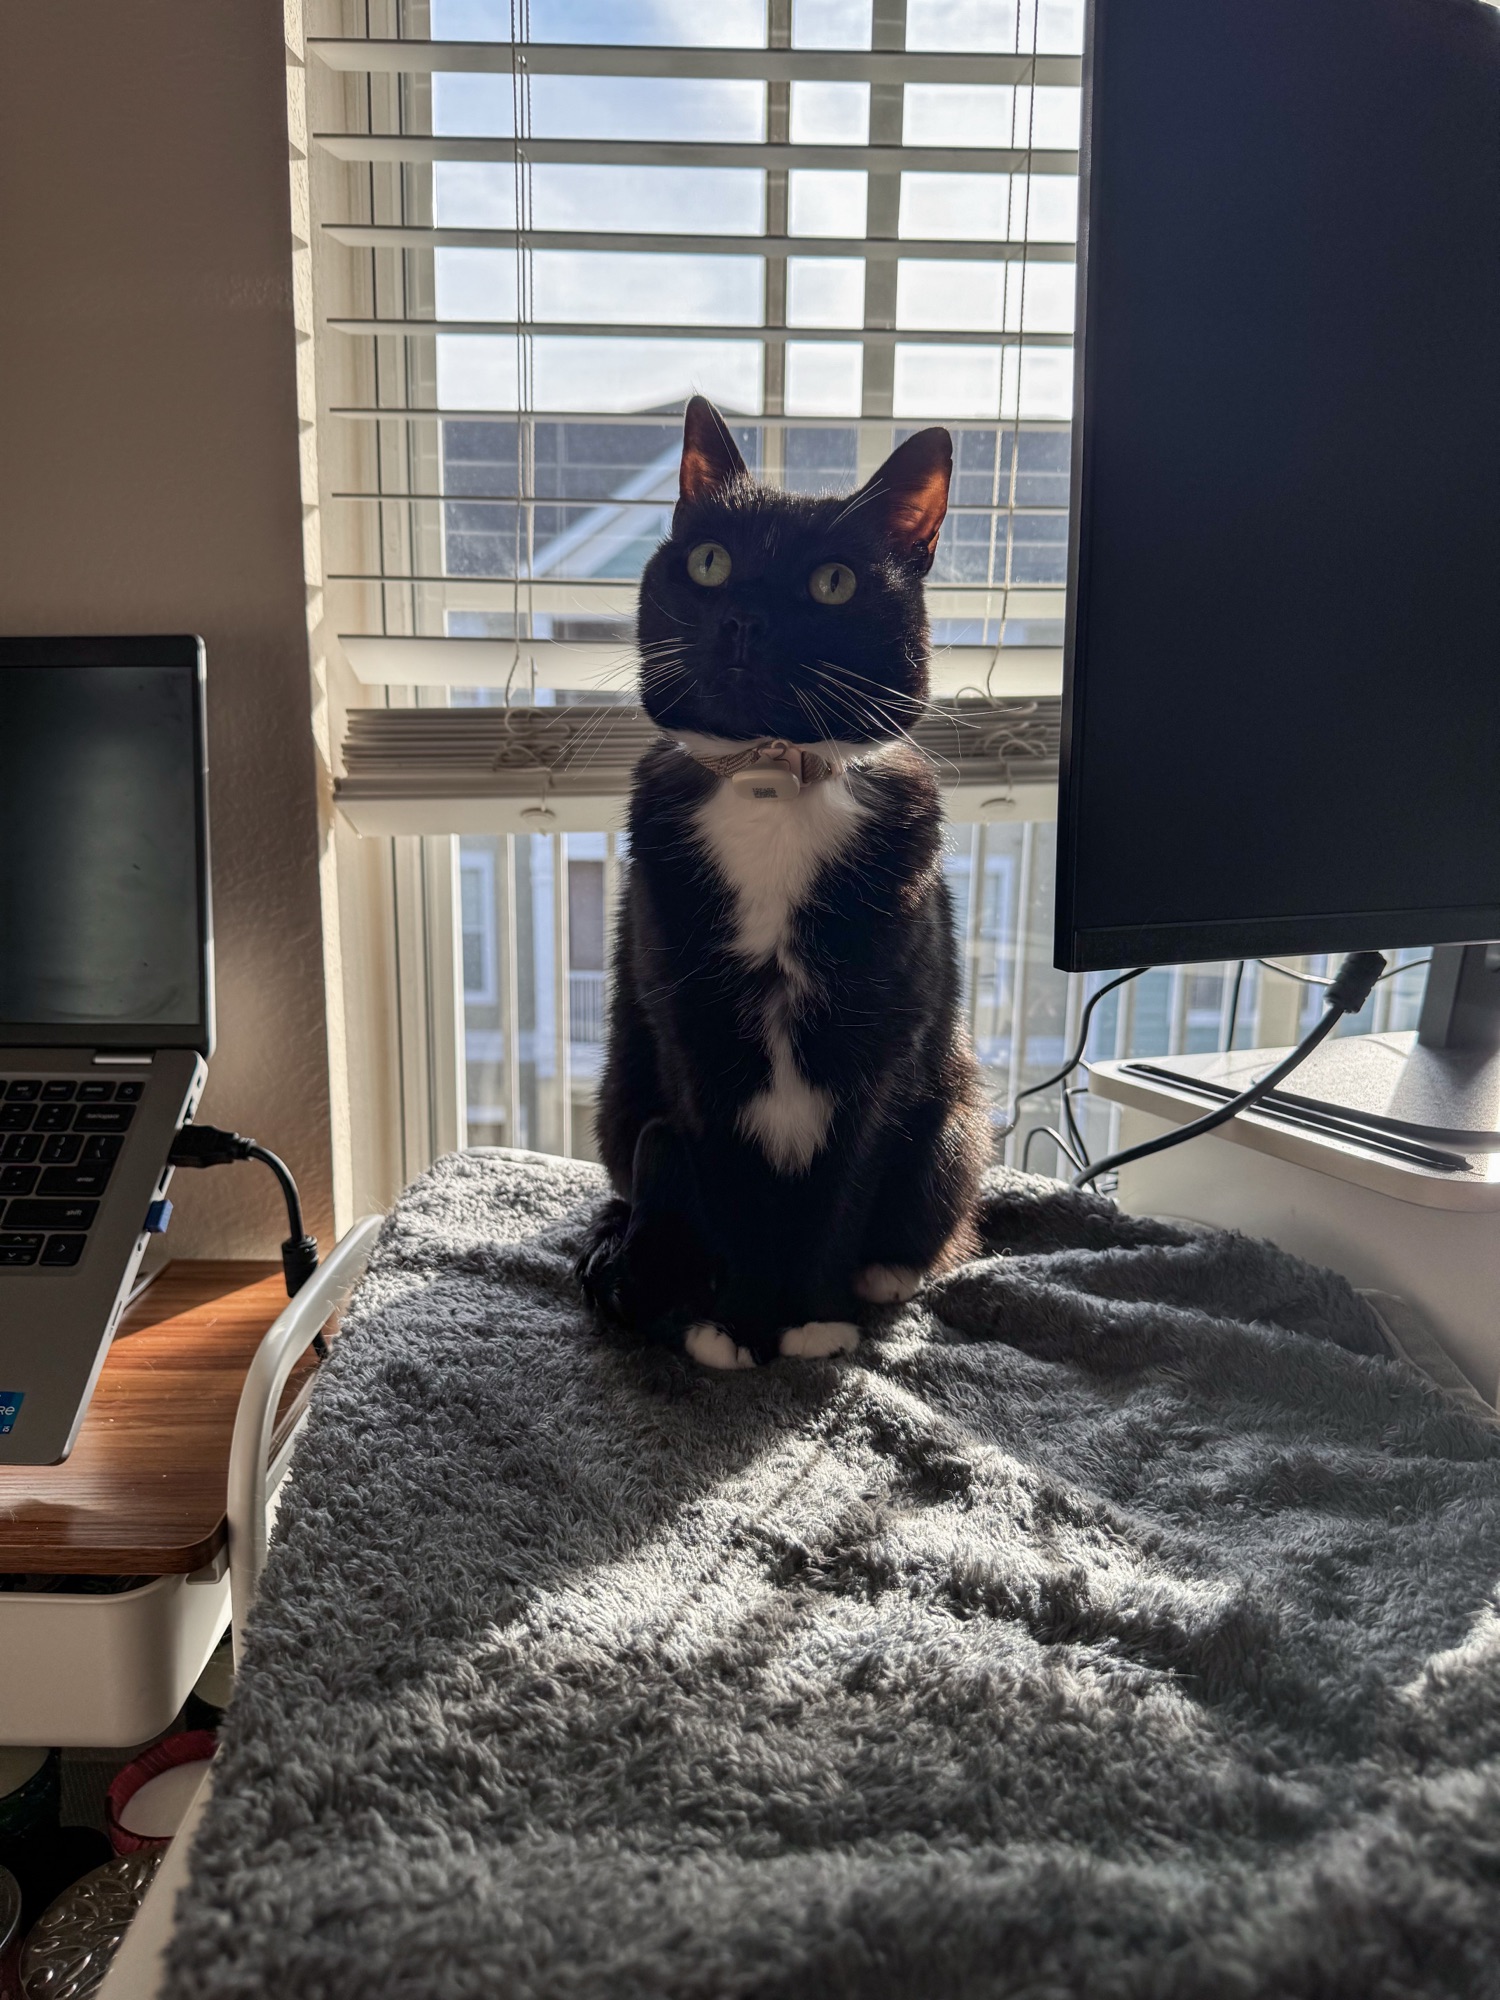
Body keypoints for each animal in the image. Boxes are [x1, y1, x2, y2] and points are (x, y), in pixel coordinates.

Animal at [577, 394, 987, 1369]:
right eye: (711, 561)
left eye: (832, 583)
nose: (744, 619)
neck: (771, 777)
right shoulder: (688, 1033)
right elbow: (728, 1183)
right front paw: (734, 1324)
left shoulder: (883, 1041)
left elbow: (844, 1180)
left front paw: (808, 1319)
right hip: (621, 1092)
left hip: (954, 1121)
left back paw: (883, 1276)